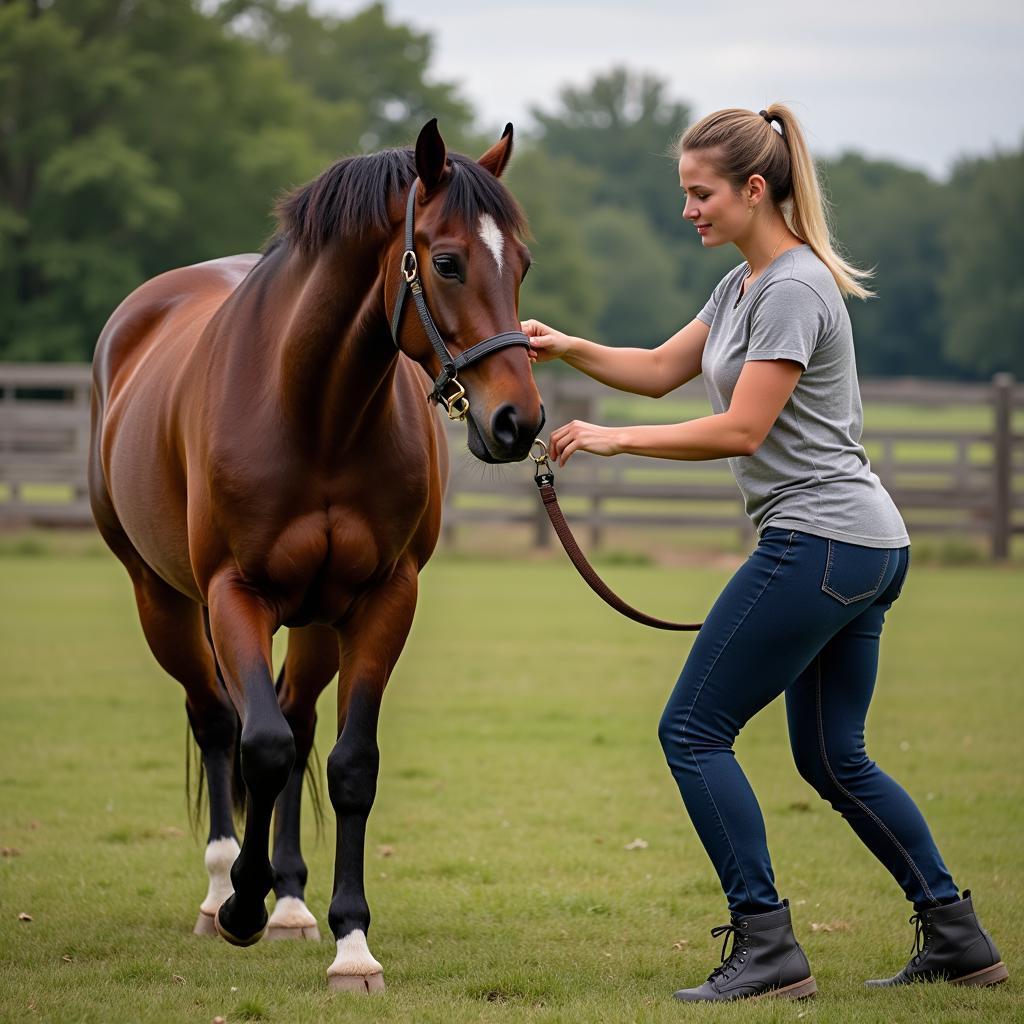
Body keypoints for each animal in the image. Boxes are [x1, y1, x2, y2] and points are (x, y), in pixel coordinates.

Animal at [88, 119, 544, 991]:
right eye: (446, 261)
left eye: (523, 264)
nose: (518, 422)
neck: (314, 413)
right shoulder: (234, 594)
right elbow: (257, 746)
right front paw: (242, 903)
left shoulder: (380, 599)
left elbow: (347, 763)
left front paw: (350, 942)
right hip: (162, 601)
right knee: (220, 722)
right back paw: (222, 890)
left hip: (314, 621)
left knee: (295, 724)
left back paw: (292, 903)